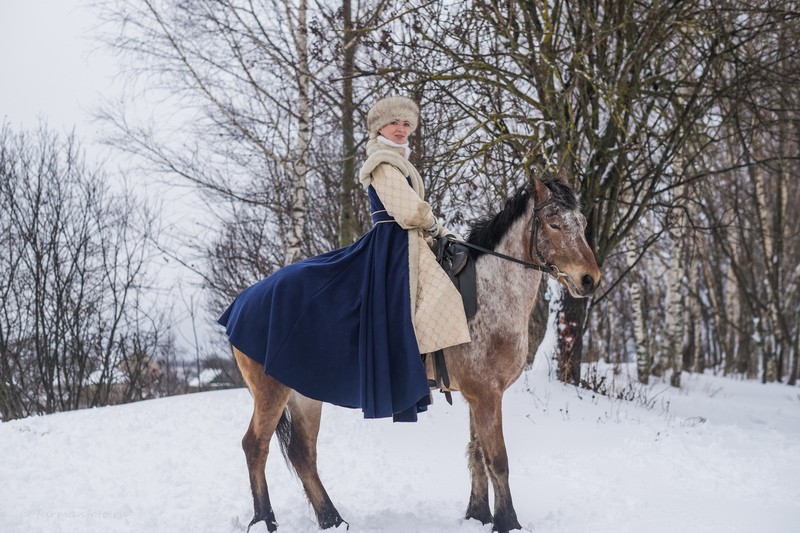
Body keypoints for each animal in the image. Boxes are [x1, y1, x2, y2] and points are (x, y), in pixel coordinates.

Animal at [234, 175, 604, 528]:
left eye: (582, 222)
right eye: (554, 223)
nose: (590, 279)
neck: (491, 292)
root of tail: (241, 302)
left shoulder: (478, 394)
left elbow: (476, 454)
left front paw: (478, 515)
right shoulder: (486, 393)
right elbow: (497, 459)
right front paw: (508, 522)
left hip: (305, 394)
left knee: (303, 455)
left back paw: (332, 520)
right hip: (272, 392)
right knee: (256, 446)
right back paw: (266, 520)